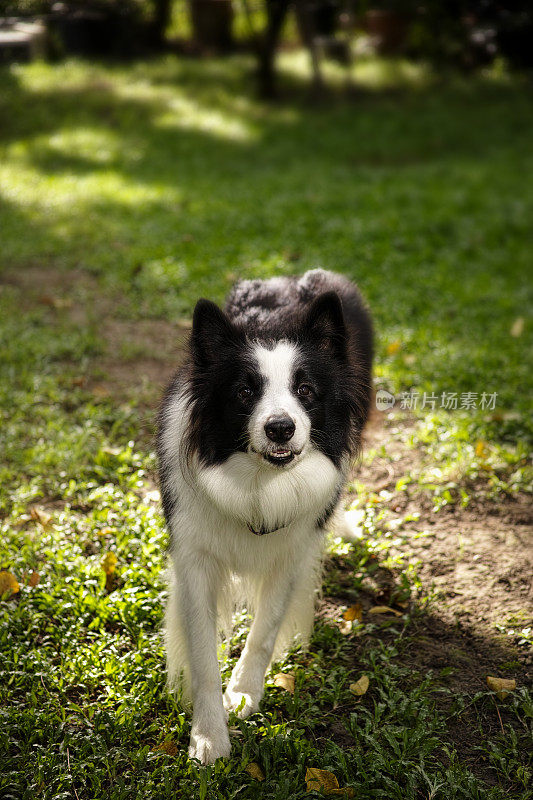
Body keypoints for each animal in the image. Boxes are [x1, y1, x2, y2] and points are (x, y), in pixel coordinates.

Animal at [158, 268, 372, 764]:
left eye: (306, 391)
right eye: (244, 392)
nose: (280, 428)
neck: (258, 483)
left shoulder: (292, 554)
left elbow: (266, 628)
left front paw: (243, 694)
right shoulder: (194, 558)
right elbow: (202, 653)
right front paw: (209, 736)